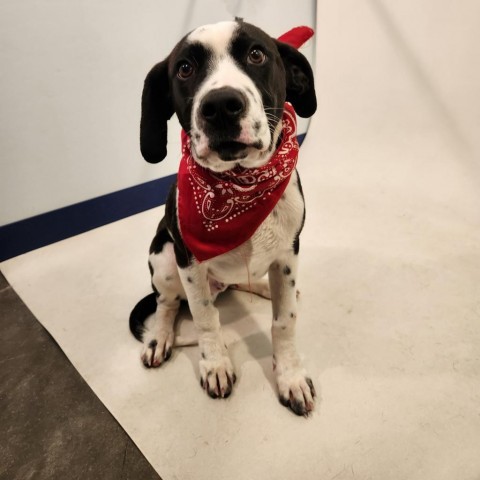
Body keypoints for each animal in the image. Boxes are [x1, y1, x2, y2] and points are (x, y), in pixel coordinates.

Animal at [131, 19, 316, 416]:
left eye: (257, 54)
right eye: (185, 68)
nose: (220, 106)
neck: (240, 186)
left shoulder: (289, 253)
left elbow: (285, 321)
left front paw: (291, 376)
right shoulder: (188, 261)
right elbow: (204, 318)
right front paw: (215, 365)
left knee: (244, 282)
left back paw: (263, 287)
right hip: (163, 258)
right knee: (167, 303)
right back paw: (160, 337)